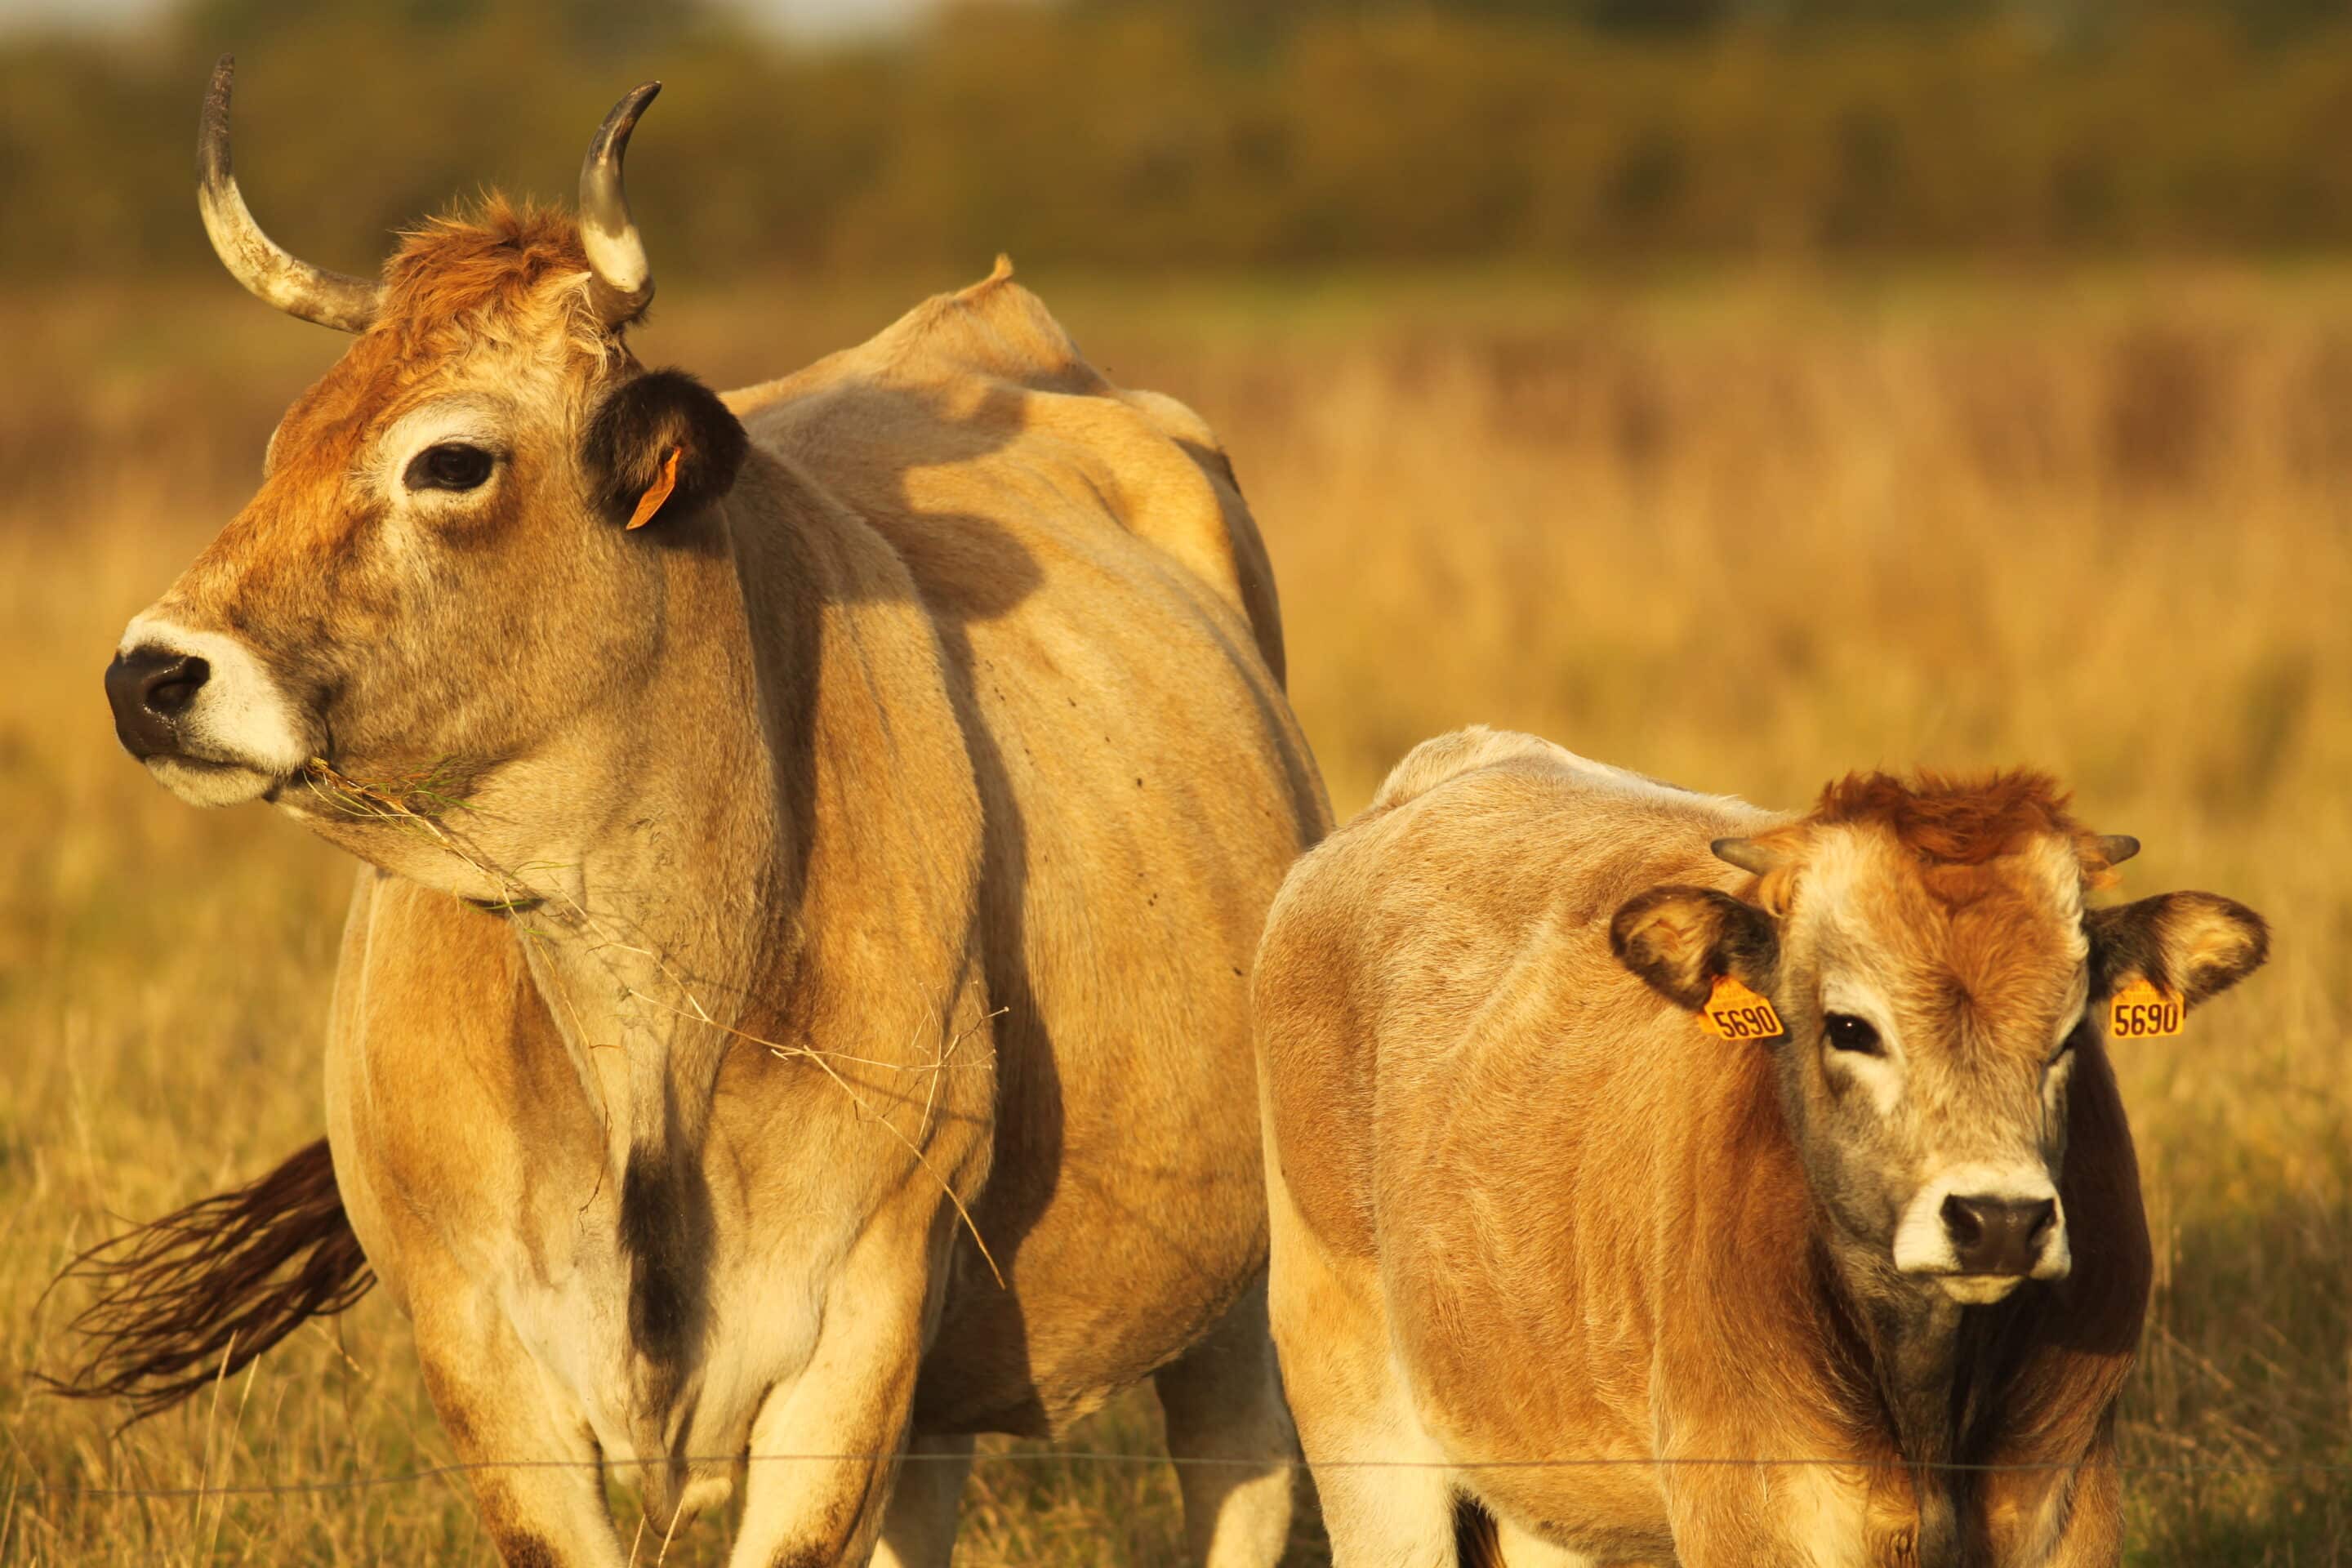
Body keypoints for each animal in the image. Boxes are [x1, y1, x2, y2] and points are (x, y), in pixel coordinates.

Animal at [74, 58, 1335, 1568]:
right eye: (287, 441)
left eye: (450, 461)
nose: (151, 674)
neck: (644, 1018)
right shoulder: (481, 1348)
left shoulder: (854, 1332)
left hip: (1232, 1288)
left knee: (1242, 1462)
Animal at [1260, 728, 2267, 1568]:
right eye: (1851, 1027)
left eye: (2068, 1034)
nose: (2000, 1220)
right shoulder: (1755, 1511)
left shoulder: (2071, 1501)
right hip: (1357, 1420)